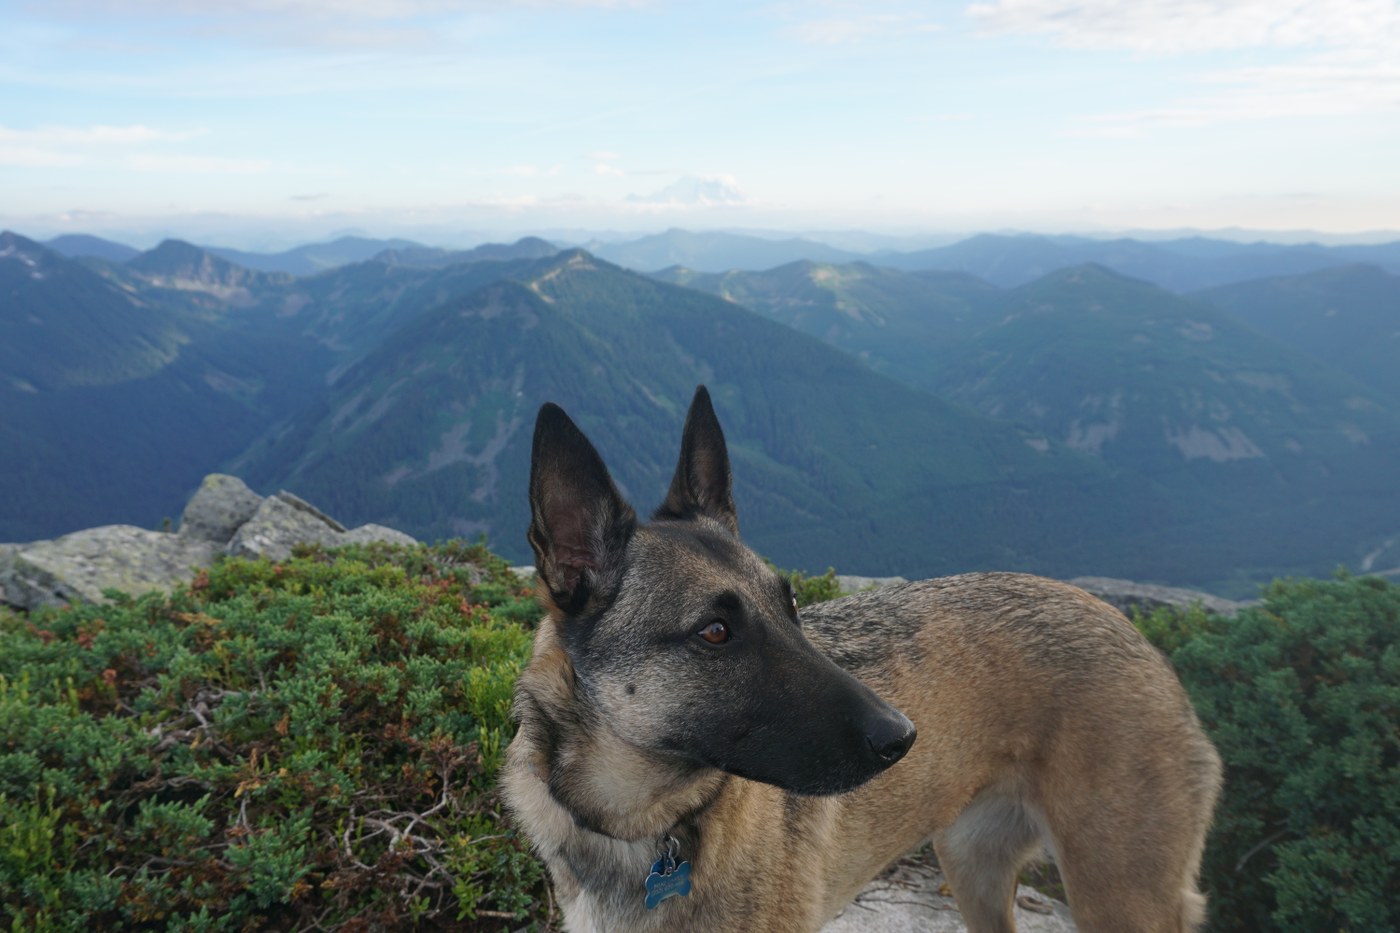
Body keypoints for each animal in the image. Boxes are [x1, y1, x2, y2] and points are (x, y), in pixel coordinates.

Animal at [501, 386, 1222, 933]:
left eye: (790, 604)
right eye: (714, 632)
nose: (902, 737)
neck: (636, 827)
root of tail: (1133, 632)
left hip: (1121, 894)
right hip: (972, 866)